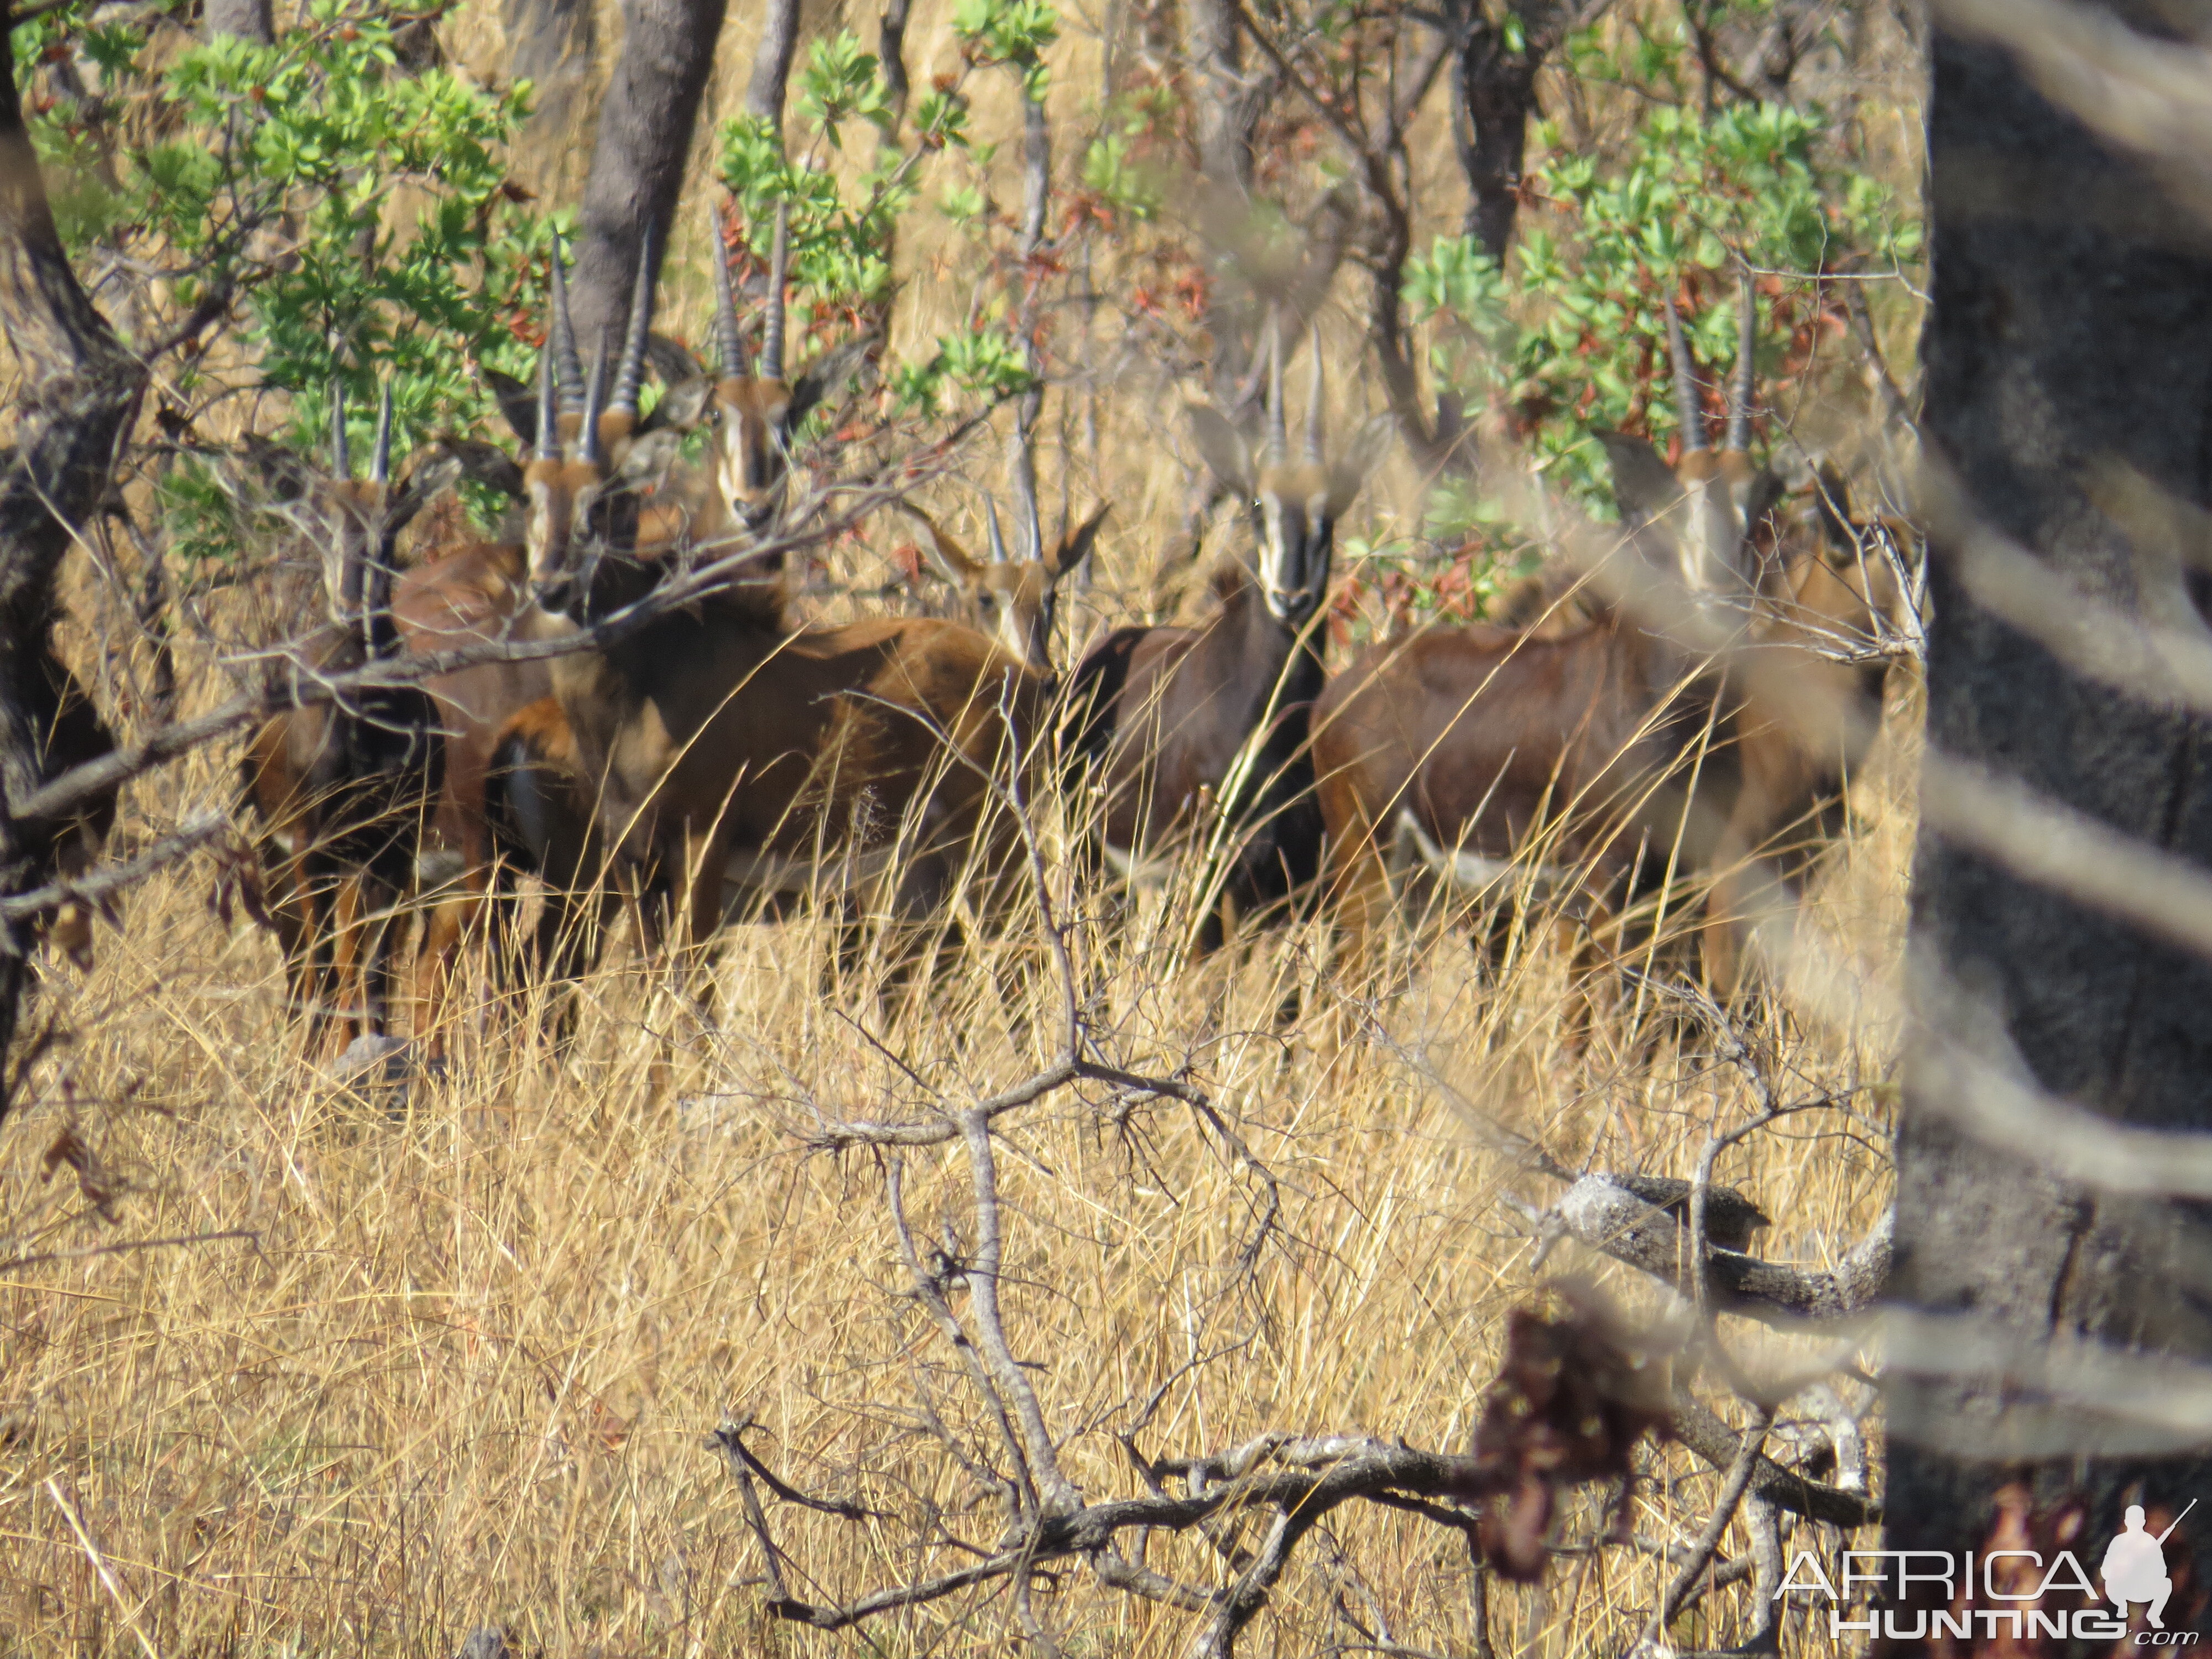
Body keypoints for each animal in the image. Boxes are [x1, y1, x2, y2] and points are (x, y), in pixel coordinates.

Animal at [241, 383, 445, 1044]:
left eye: (392, 522)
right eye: (320, 517)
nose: (355, 606)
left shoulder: (393, 850)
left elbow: (375, 974)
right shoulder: (311, 848)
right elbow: (327, 971)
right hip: (280, 857)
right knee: (305, 968)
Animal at [1066, 321, 1380, 956]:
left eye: (1329, 512)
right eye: (1258, 504)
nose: (1291, 598)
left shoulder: (1296, 884)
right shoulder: (1216, 878)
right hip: (1098, 861)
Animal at [1310, 278, 1902, 1000]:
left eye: (1759, 507)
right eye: (1673, 506)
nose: (1722, 602)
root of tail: (1336, 695)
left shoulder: (1672, 888)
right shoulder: (1603, 884)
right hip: (1368, 874)